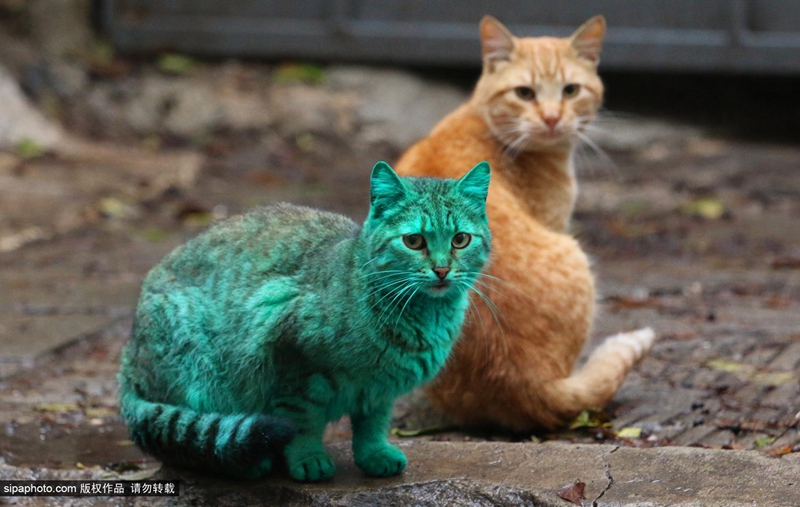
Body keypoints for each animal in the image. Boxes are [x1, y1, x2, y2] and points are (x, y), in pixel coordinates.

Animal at [117, 161, 494, 482]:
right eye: (414, 241)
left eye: (460, 239)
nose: (442, 269)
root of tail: (128, 360)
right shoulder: (293, 363)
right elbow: (303, 422)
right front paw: (308, 459)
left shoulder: (379, 389)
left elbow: (371, 426)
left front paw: (374, 455)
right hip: (200, 371)